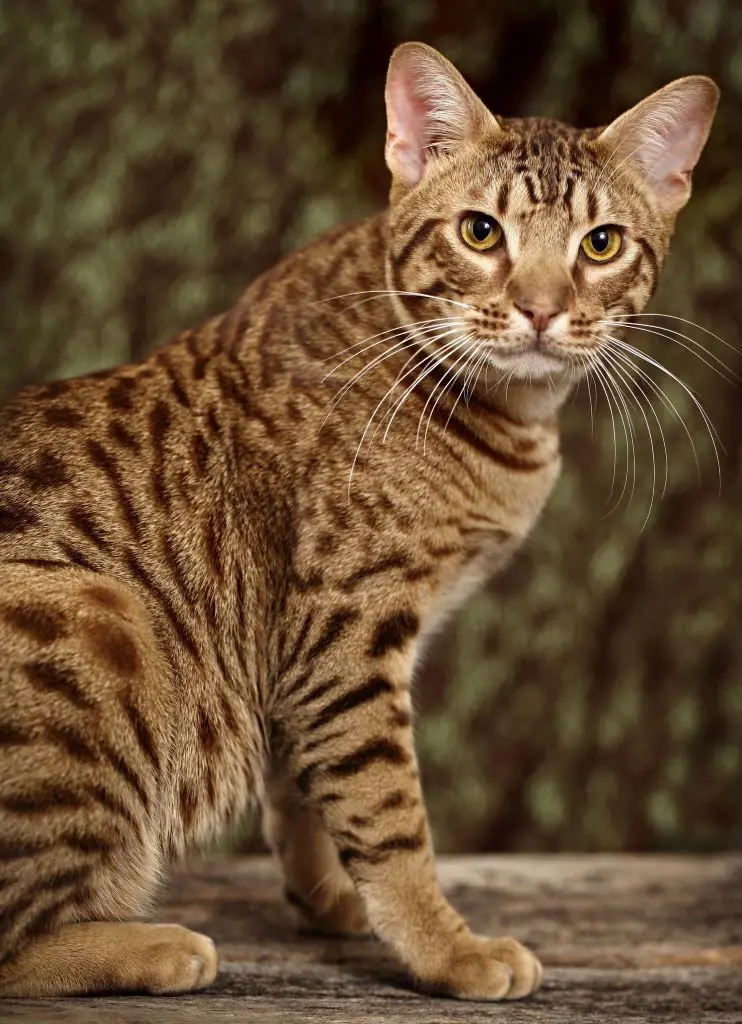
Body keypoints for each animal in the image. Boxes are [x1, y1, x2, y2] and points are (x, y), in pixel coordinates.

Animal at [0, 41, 716, 999]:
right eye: (480, 232)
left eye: (601, 245)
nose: (540, 308)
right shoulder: (348, 635)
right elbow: (390, 813)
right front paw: (445, 948)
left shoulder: (300, 666)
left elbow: (304, 793)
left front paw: (329, 898)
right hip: (101, 616)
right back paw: (146, 945)